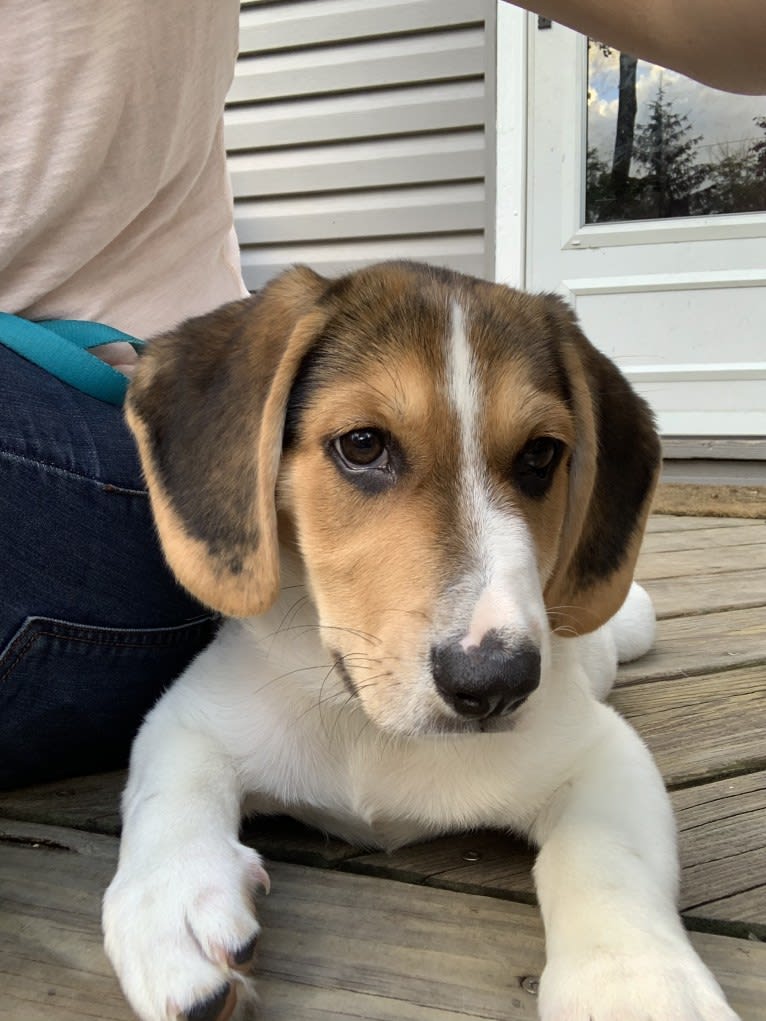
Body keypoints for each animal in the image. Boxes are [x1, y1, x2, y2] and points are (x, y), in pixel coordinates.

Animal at [100, 265, 739, 1021]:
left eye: (541, 455)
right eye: (362, 445)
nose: (496, 683)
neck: (371, 728)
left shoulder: (601, 753)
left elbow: (605, 860)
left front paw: (636, 984)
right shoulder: (189, 719)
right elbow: (167, 797)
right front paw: (172, 901)